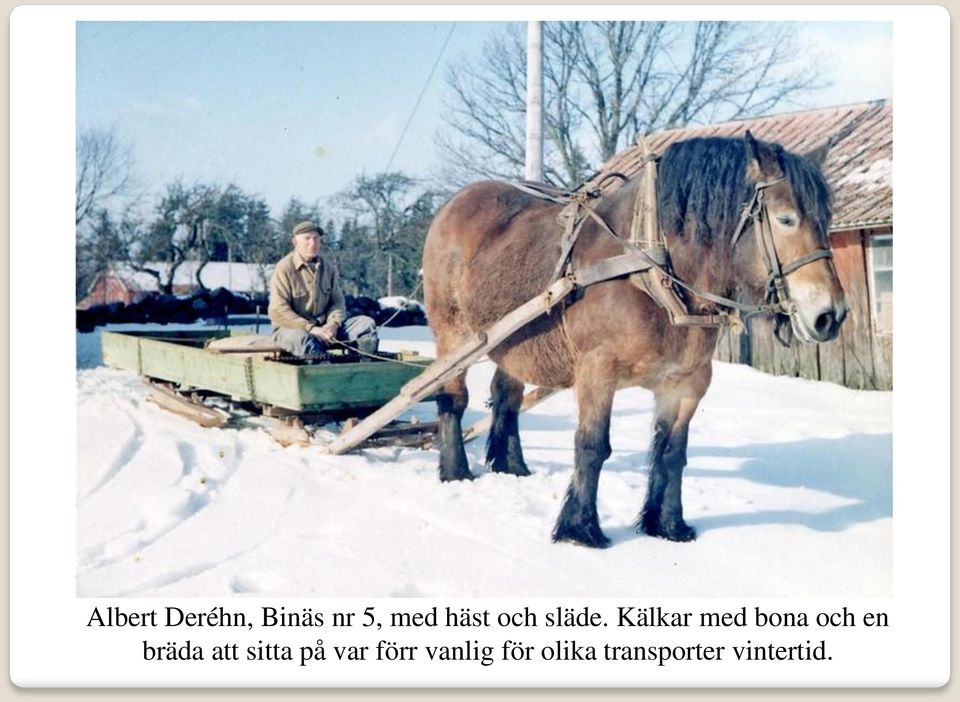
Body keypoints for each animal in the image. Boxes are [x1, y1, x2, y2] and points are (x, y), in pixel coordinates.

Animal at [420, 133, 848, 552]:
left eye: (826, 218)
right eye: (786, 219)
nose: (832, 315)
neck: (651, 274)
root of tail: (455, 202)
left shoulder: (687, 382)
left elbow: (672, 452)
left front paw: (668, 524)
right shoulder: (597, 370)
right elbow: (593, 445)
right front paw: (580, 528)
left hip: (513, 339)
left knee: (505, 396)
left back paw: (511, 465)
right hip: (454, 333)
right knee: (452, 398)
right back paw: (456, 471)